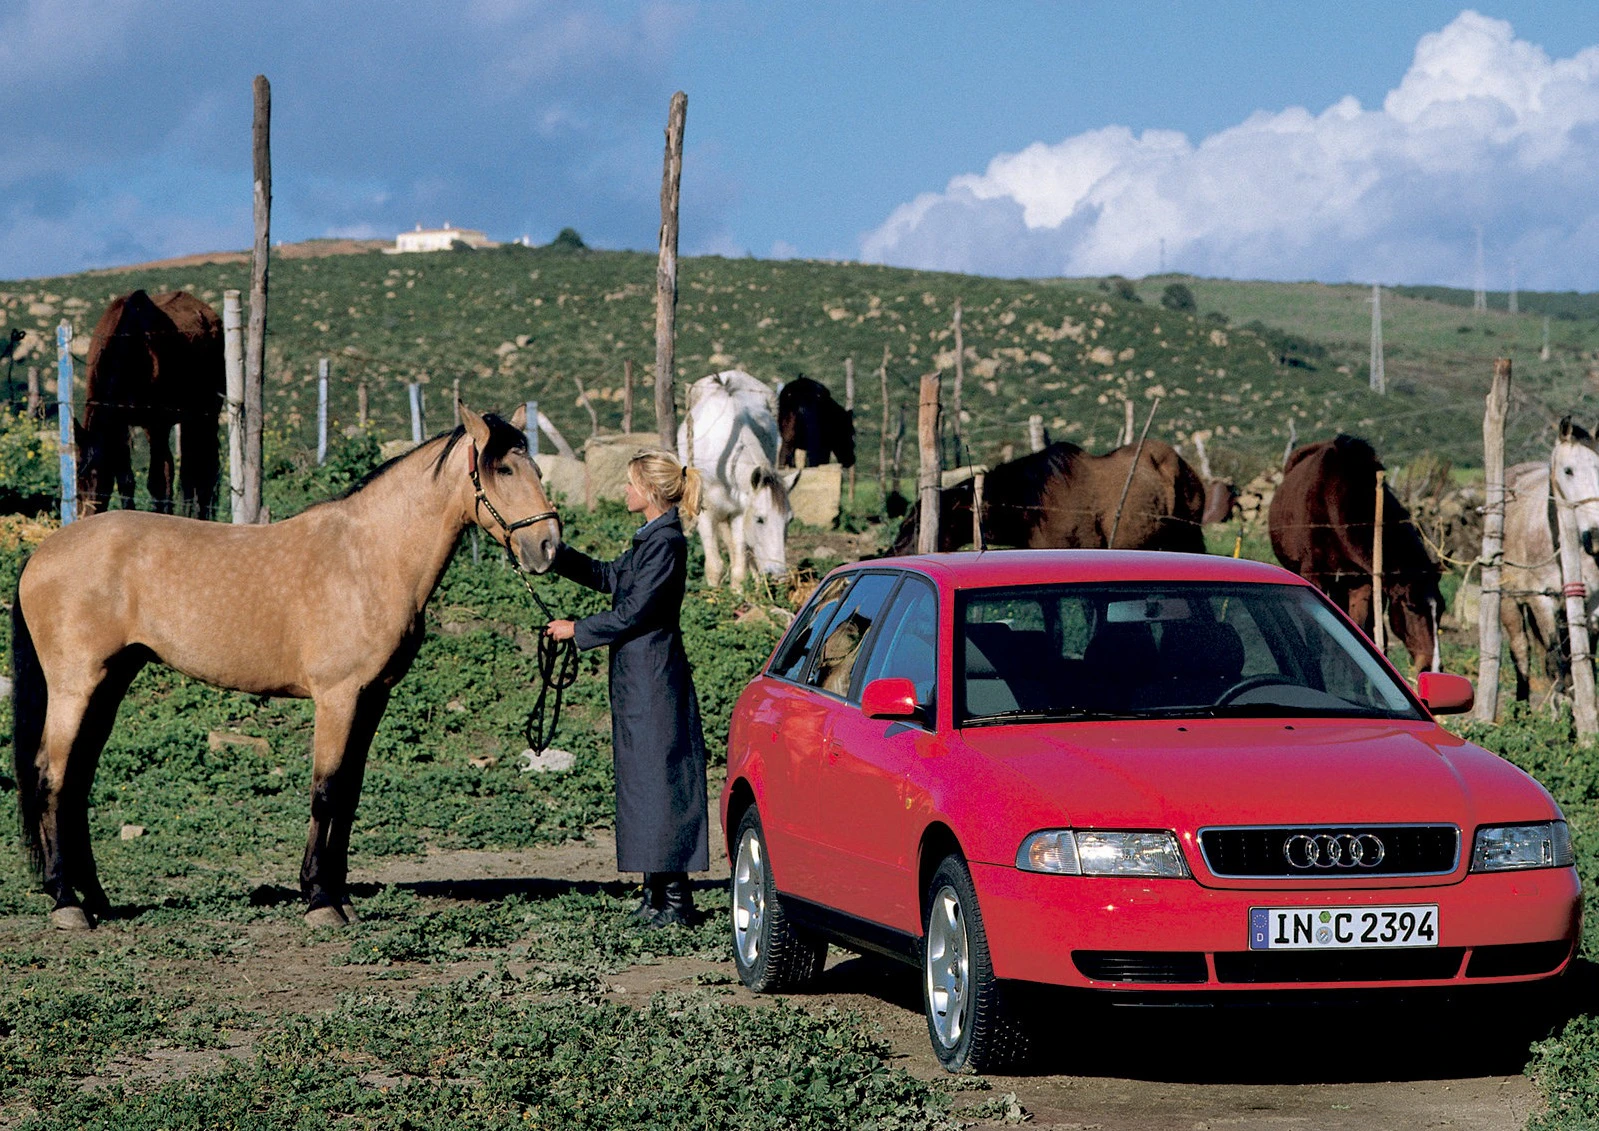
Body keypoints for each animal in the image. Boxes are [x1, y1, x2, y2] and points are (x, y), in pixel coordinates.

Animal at [10, 405, 559, 930]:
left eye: (535, 467)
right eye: (504, 469)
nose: (549, 547)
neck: (369, 557)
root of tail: (42, 554)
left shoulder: (373, 697)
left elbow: (350, 792)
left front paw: (340, 896)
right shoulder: (338, 697)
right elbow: (326, 791)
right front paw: (319, 900)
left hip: (110, 682)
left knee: (77, 782)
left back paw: (97, 899)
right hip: (75, 686)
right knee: (51, 777)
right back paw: (66, 902)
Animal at [77, 289, 225, 519]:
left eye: (99, 477)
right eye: (78, 480)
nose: (87, 518)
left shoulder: (156, 426)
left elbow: (158, 482)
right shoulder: (120, 426)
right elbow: (126, 480)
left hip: (207, 415)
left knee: (204, 475)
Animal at [678, 371, 799, 588]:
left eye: (789, 520)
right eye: (760, 519)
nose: (779, 575)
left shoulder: (741, 513)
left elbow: (739, 568)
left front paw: (739, 594)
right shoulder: (705, 515)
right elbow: (714, 567)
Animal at [1269, 435, 1442, 672]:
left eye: (1441, 610)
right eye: (1411, 606)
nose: (1432, 667)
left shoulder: (1362, 583)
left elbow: (1358, 631)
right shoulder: (1313, 577)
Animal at [1500, 418, 1599, 701]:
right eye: (1568, 471)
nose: (1596, 537)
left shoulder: (1593, 603)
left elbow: (1585, 659)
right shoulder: (1541, 600)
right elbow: (1556, 660)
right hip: (1509, 602)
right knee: (1521, 652)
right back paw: (1522, 706)